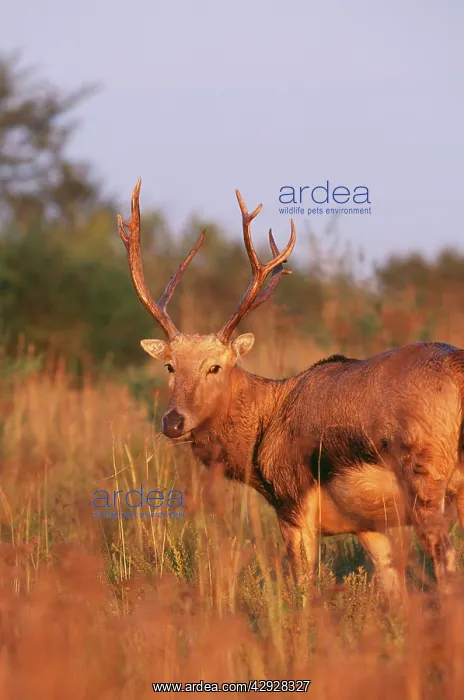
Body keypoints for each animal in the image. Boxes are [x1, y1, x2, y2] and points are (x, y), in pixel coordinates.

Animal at [118, 178, 464, 598]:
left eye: (215, 366)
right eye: (170, 366)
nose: (172, 421)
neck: (264, 425)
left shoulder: (293, 503)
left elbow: (303, 592)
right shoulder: (367, 523)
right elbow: (393, 589)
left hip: (425, 476)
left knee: (447, 564)